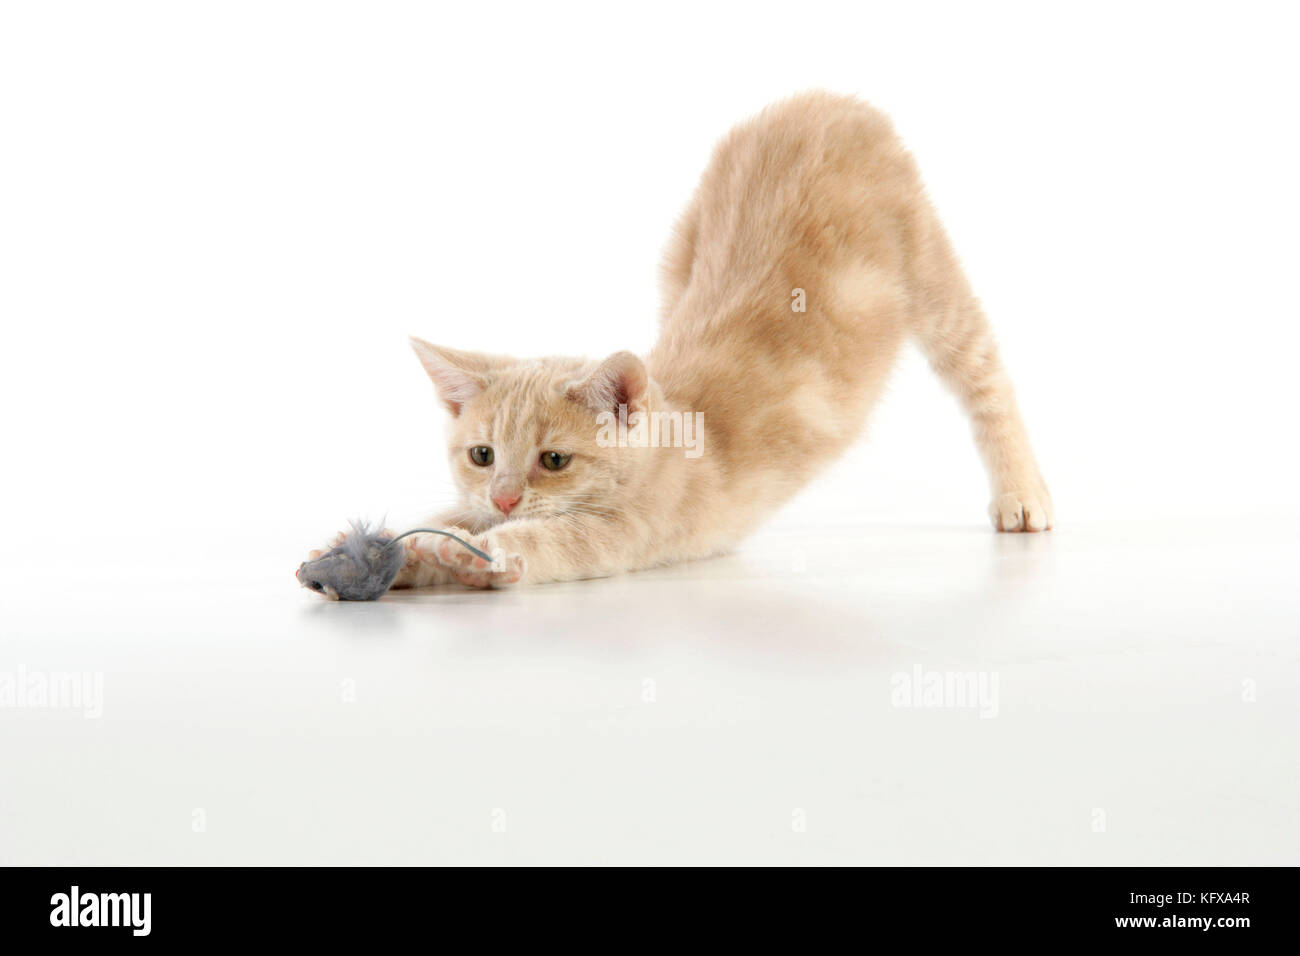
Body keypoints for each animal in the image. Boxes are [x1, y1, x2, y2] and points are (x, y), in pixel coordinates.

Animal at [309, 95, 1050, 590]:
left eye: (555, 460)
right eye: (482, 455)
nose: (504, 500)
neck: (667, 434)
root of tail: (829, 101)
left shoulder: (623, 534)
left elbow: (552, 543)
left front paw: (471, 552)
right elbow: (446, 515)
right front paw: (382, 549)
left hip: (930, 273)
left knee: (986, 379)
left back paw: (1022, 494)